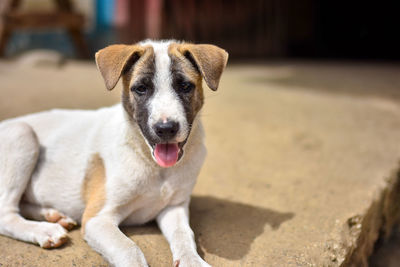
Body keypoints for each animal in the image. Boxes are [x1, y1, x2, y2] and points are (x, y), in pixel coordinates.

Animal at [0, 40, 228, 267]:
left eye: (185, 86)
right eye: (141, 88)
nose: (166, 128)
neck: (152, 164)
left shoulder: (174, 206)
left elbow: (184, 235)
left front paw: (193, 260)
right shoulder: (97, 218)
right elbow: (130, 249)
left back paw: (53, 215)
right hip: (22, 133)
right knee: (6, 214)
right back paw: (44, 230)